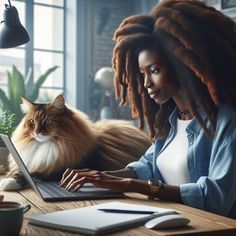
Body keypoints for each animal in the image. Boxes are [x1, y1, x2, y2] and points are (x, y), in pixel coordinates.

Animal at [0, 93, 151, 190]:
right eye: (32, 122)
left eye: (47, 121)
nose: (37, 131)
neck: (46, 145)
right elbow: (20, 170)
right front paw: (8, 179)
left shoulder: (58, 170)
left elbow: (32, 173)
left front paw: (7, 183)